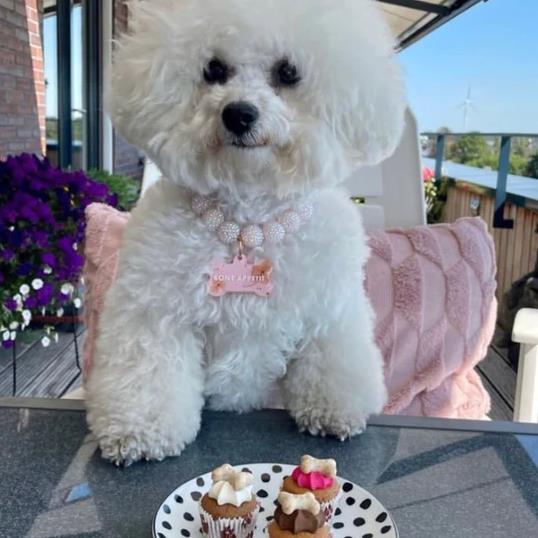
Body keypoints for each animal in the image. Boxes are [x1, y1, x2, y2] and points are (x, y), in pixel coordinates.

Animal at [85, 0, 402, 462]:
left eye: (288, 72)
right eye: (213, 69)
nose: (238, 113)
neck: (248, 224)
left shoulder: (330, 311)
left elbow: (328, 361)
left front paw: (332, 411)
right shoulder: (154, 312)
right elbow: (148, 368)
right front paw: (139, 430)